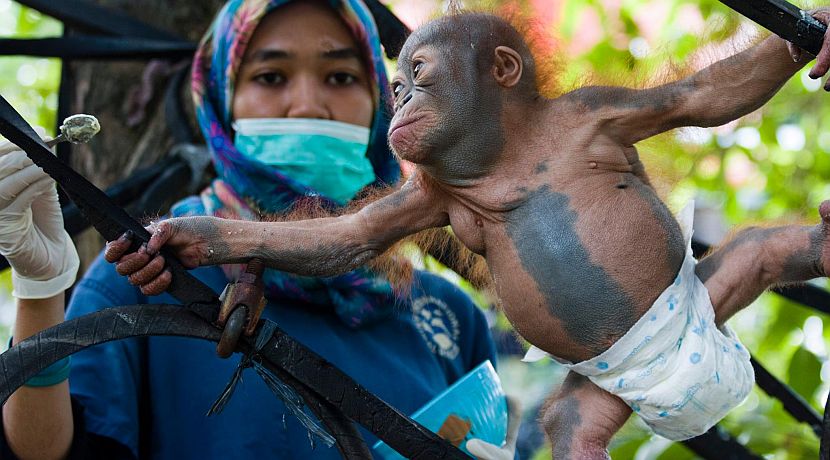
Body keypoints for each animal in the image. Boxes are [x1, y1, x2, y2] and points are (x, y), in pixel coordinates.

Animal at [107, 10, 830, 458]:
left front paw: (804, 46)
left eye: (419, 75)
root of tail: (708, 389)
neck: (507, 154)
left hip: (703, 303)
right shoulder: (430, 192)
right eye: (396, 83)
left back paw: (817, 245)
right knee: (572, 426)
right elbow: (350, 238)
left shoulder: (598, 112)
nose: (400, 101)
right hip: (608, 388)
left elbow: (710, 98)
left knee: (760, 252)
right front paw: (191, 238)